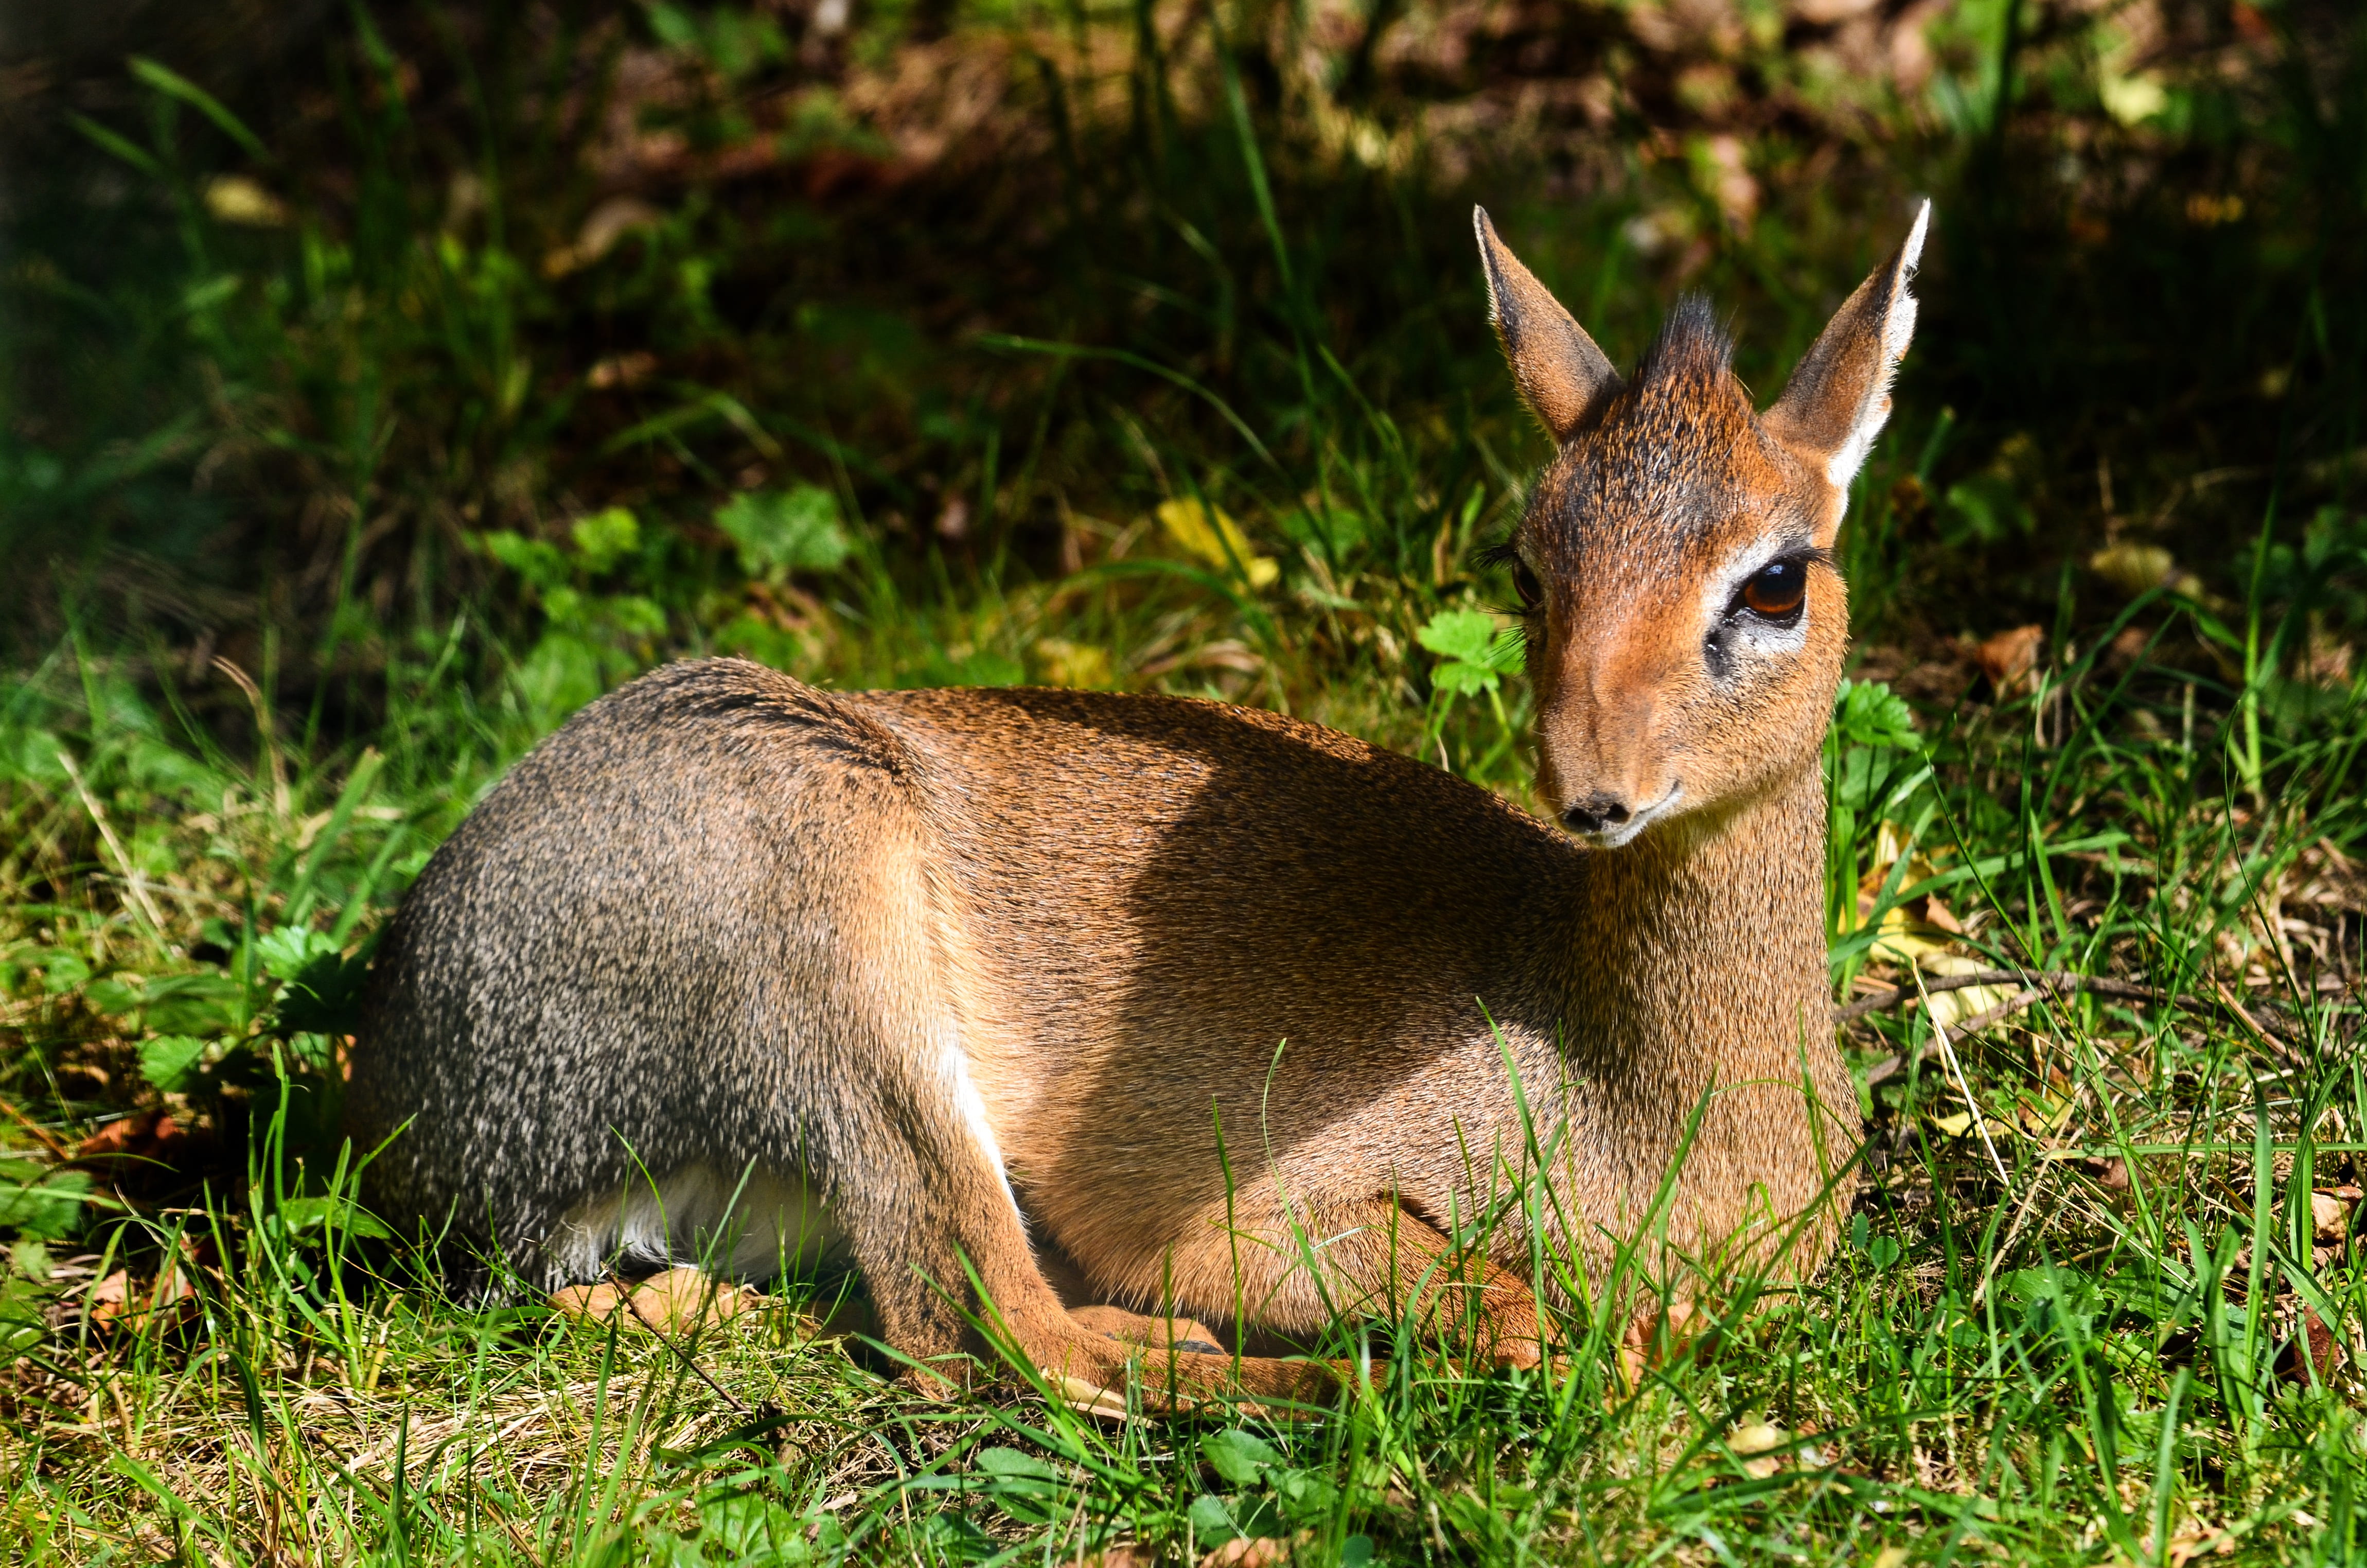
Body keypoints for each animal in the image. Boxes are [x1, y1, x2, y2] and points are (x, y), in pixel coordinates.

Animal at [350, 201, 1929, 1404]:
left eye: (1774, 579)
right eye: (1527, 564)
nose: (1594, 789)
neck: (1645, 1113)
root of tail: (423, 1097)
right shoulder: (1241, 1216)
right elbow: (1501, 1300)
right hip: (841, 961)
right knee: (994, 1337)